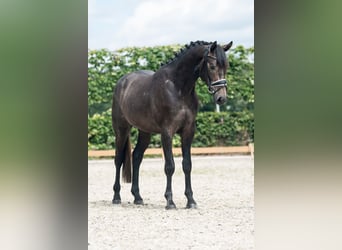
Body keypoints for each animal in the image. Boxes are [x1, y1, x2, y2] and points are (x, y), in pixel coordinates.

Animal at [111, 40, 232, 209]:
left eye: (226, 66)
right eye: (212, 66)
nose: (221, 98)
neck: (178, 88)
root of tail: (122, 82)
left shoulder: (188, 131)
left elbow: (187, 165)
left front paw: (191, 201)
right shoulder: (167, 132)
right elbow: (170, 166)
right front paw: (170, 201)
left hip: (145, 131)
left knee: (136, 157)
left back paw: (138, 197)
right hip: (121, 130)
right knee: (118, 159)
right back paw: (116, 197)